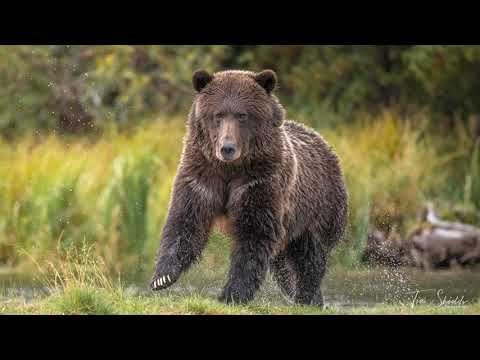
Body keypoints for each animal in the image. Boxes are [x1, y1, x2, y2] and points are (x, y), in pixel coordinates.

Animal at [149, 69, 344, 306]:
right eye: (218, 115)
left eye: (242, 115)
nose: (227, 148)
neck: (230, 169)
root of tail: (324, 143)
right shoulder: (201, 175)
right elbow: (185, 221)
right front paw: (162, 277)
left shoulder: (259, 181)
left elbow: (253, 234)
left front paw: (232, 293)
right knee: (283, 264)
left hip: (317, 209)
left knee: (311, 256)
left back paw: (306, 296)